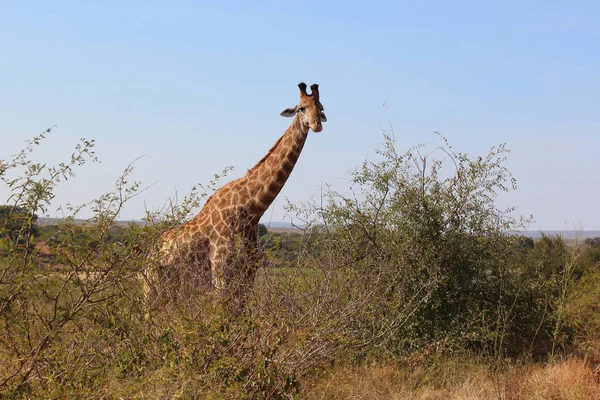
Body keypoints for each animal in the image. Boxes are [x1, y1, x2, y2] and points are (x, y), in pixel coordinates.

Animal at [143, 82, 326, 310]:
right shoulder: (221, 271)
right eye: (301, 108)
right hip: (151, 288)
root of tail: (148, 254)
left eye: (321, 107)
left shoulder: (248, 274)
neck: (251, 208)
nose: (317, 125)